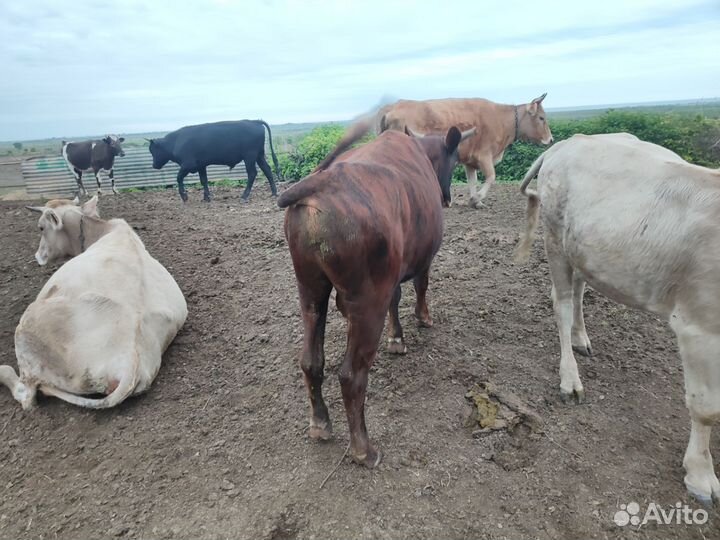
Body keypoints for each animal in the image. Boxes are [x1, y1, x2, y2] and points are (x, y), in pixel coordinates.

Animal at [147, 120, 281, 203]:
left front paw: (184, 196)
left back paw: (244, 196)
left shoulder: (188, 165)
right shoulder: (201, 166)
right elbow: (204, 181)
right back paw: (274, 193)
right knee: (267, 170)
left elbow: (179, 178)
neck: (175, 142)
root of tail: (253, 121)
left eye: (153, 150)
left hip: (250, 157)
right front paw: (206, 197)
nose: (154, 165)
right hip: (259, 155)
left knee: (252, 173)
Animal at [278, 119, 476, 467]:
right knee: (351, 375)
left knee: (311, 362)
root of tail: (321, 181)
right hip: (367, 300)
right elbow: (421, 286)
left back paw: (320, 423)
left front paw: (396, 338)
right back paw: (363, 449)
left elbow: (396, 300)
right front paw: (423, 319)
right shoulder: (422, 258)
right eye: (454, 162)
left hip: (310, 288)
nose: (448, 197)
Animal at [379, 94, 553, 208]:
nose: (551, 139)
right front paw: (476, 199)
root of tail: (392, 110)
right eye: (541, 118)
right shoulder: (484, 156)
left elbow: (472, 180)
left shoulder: (470, 161)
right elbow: (491, 177)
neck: (501, 120)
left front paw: (476, 201)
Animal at [514, 133, 720, 503]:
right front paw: (700, 475)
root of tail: (567, 142)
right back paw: (570, 378)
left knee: (579, 288)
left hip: (582, 247)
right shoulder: (699, 325)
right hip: (555, 238)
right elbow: (707, 407)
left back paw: (581, 338)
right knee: (562, 302)